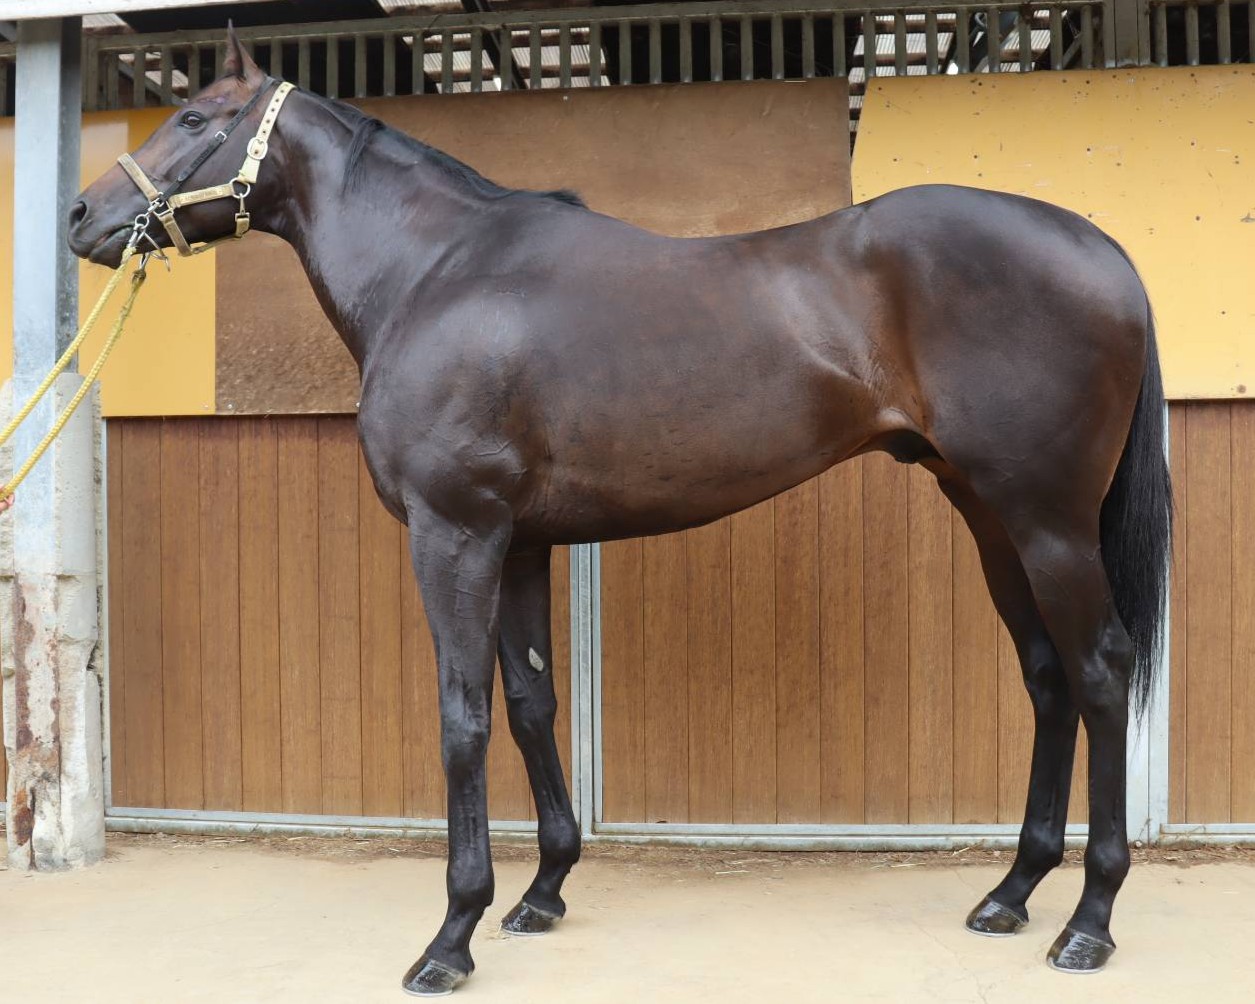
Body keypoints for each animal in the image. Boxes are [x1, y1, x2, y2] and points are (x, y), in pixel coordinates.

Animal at [69, 26, 1171, 997]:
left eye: (196, 117)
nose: (82, 217)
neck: (437, 273)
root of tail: (1102, 249)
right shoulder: (517, 543)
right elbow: (529, 701)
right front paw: (543, 891)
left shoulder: (453, 535)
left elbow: (463, 716)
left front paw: (452, 935)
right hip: (989, 514)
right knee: (1047, 678)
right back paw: (1011, 892)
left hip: (1047, 521)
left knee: (1099, 669)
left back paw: (1087, 923)